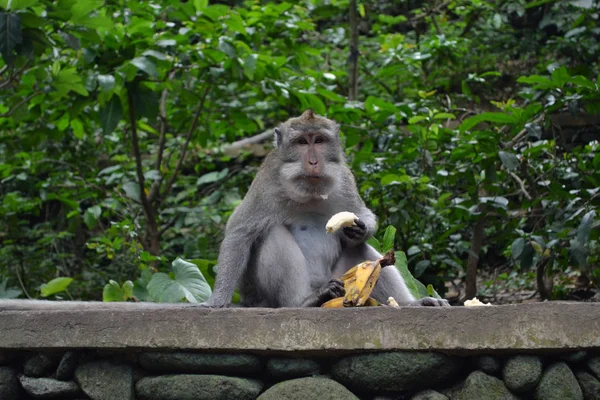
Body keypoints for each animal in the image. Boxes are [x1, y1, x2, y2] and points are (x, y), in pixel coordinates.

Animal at [203, 111, 450, 308]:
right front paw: (216, 302)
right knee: (274, 233)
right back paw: (303, 301)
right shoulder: (266, 183)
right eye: (302, 142)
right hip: (266, 297)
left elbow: (360, 213)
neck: (310, 191)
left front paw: (361, 227)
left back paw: (411, 303)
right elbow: (239, 232)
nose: (313, 162)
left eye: (319, 140)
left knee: (361, 251)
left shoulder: (344, 179)